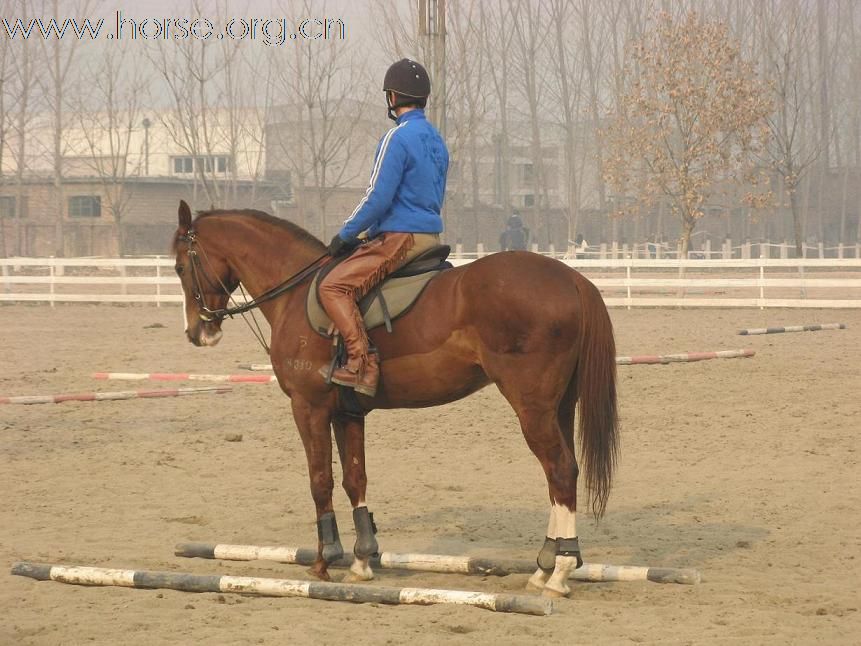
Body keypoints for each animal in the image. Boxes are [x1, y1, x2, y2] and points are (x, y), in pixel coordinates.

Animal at [171, 202, 616, 604]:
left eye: (179, 266)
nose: (197, 332)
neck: (295, 294)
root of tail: (572, 279)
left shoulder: (308, 407)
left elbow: (320, 480)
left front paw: (324, 561)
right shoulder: (347, 413)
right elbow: (355, 479)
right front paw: (361, 561)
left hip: (533, 409)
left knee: (559, 471)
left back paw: (558, 573)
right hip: (559, 407)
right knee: (563, 473)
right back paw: (547, 566)